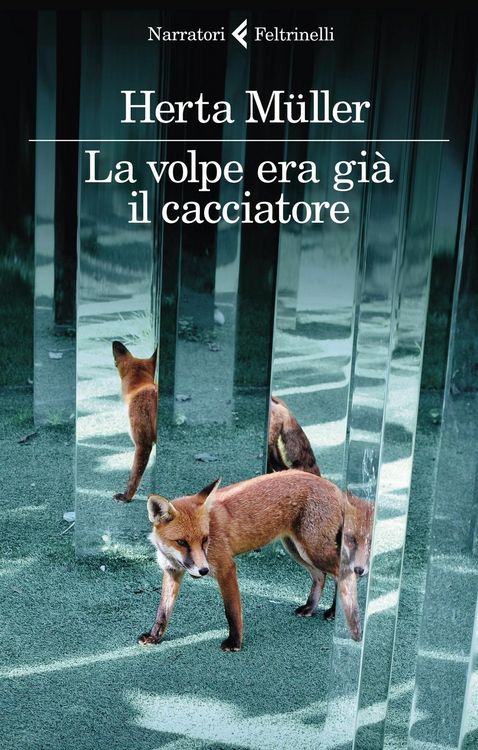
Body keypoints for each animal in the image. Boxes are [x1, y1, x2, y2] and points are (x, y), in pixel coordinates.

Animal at [139, 470, 373, 651]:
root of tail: (333, 486)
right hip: (296, 549)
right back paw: (310, 607)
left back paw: (335, 612)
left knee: (345, 573)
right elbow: (163, 611)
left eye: (205, 539)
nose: (203, 571)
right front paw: (155, 636)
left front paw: (235, 642)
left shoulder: (226, 567)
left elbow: (232, 612)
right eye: (181, 542)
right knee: (321, 576)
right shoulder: (172, 571)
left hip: (314, 550)